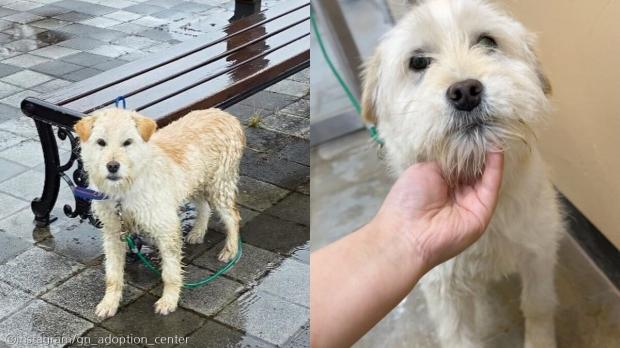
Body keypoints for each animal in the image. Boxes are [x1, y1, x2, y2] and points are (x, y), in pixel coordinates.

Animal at [74, 108, 245, 318]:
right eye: (101, 142)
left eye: (127, 142)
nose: (112, 166)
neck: (126, 188)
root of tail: (228, 116)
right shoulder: (113, 231)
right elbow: (113, 273)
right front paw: (109, 302)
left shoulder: (166, 227)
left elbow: (170, 272)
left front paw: (169, 300)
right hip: (196, 182)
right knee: (204, 206)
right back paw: (197, 232)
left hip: (219, 185)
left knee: (232, 217)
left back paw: (231, 250)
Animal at [360, 0, 564, 348]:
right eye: (418, 62)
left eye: (488, 41)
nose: (466, 91)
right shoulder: (443, 287)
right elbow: (458, 334)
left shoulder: (538, 253)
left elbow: (537, 305)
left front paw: (540, 340)